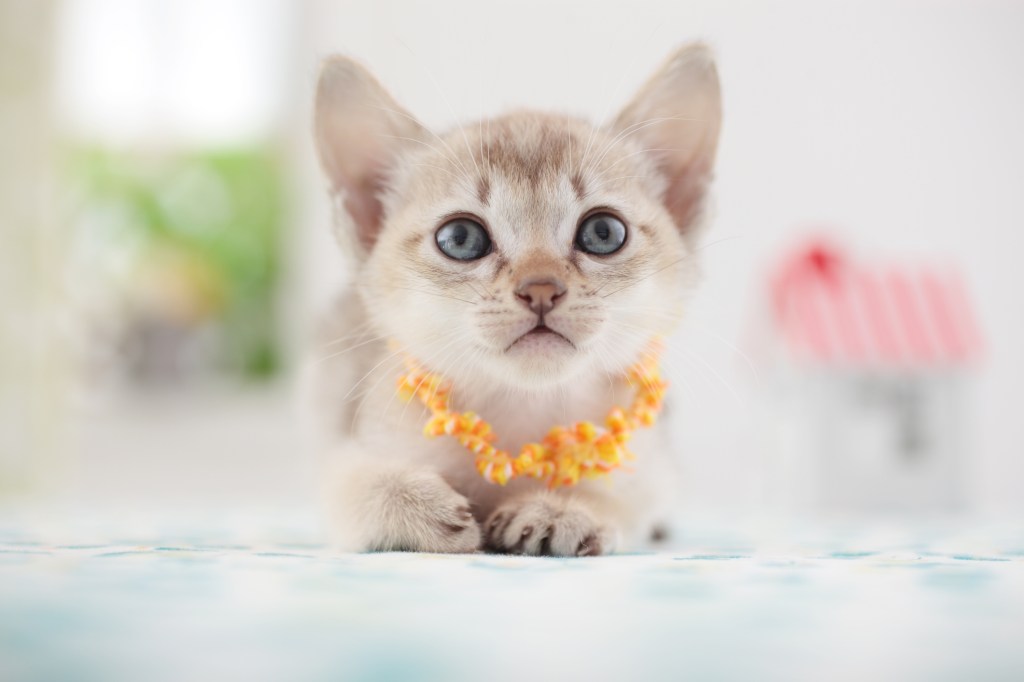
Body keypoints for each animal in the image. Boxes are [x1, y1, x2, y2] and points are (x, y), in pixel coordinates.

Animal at [311, 41, 720, 552]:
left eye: (604, 233)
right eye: (461, 238)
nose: (540, 288)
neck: (522, 407)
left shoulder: (652, 468)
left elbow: (628, 496)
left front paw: (563, 507)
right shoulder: (349, 443)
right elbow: (347, 482)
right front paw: (410, 502)